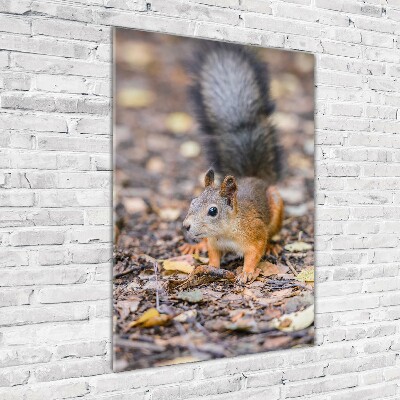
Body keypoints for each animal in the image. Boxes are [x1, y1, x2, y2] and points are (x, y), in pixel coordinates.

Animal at [180, 42, 282, 282]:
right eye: (192, 201)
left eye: (213, 211)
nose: (186, 226)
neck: (225, 231)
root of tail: (254, 177)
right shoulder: (214, 243)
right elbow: (213, 256)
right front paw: (205, 266)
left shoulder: (255, 234)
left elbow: (255, 253)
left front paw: (247, 273)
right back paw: (195, 247)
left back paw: (273, 245)